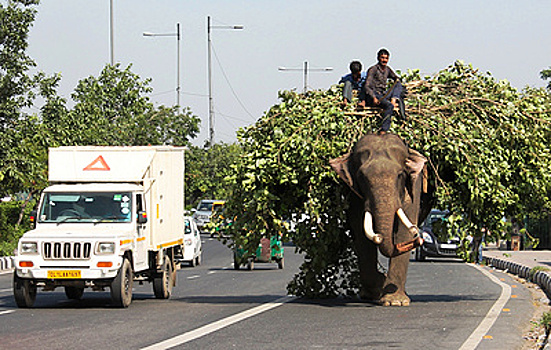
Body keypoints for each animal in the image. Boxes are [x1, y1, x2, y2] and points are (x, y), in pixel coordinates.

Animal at [332, 133, 432, 304]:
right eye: (362, 177)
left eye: (400, 175)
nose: (419, 239)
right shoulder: (354, 193)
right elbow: (360, 232)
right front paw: (379, 288)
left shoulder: (414, 186)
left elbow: (404, 230)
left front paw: (395, 302)